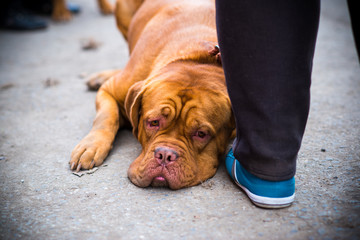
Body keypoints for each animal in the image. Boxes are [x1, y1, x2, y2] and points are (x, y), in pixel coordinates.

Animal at [69, 0, 235, 189]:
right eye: (153, 122)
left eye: (201, 134)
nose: (165, 155)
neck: (197, 60)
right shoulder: (110, 90)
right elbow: (106, 118)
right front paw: (91, 146)